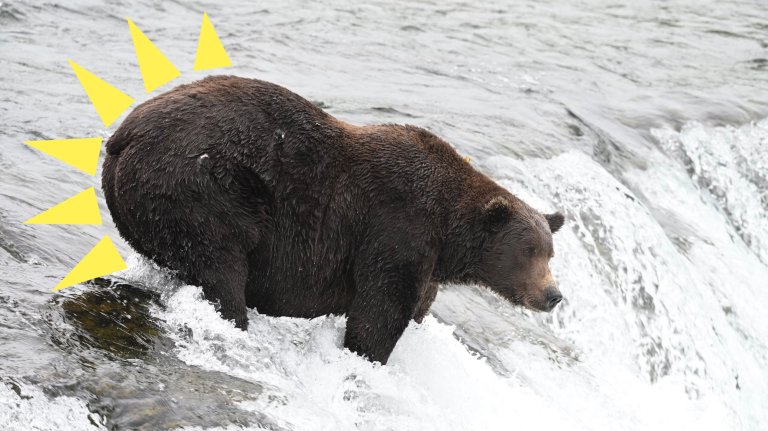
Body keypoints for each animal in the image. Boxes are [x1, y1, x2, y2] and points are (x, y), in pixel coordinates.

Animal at [102, 75, 565, 364]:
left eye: (550, 252)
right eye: (528, 251)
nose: (553, 295)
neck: (449, 234)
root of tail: (124, 134)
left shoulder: (427, 262)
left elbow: (416, 306)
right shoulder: (398, 230)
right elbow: (379, 313)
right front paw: (367, 356)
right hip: (202, 187)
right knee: (221, 265)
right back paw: (234, 317)